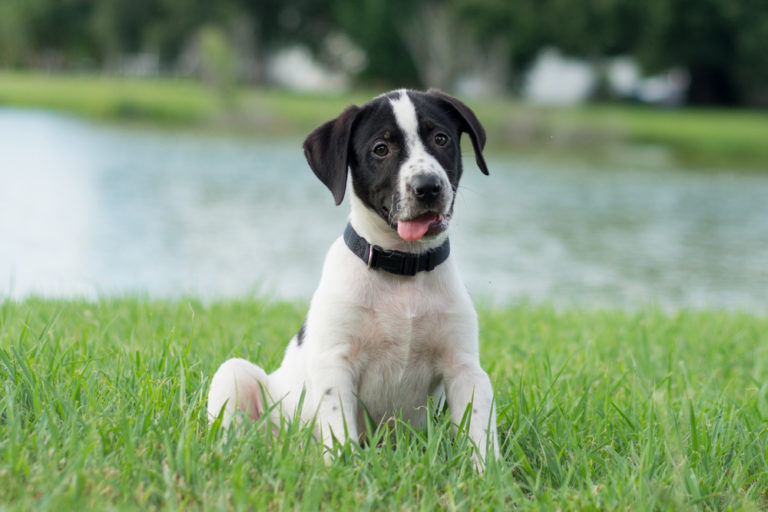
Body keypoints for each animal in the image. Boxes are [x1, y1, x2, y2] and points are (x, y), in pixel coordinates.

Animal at [207, 88, 500, 468]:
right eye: (381, 149)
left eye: (441, 139)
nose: (428, 187)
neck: (403, 269)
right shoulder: (335, 364)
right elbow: (340, 432)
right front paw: (343, 471)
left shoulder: (465, 369)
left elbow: (480, 432)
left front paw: (488, 474)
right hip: (234, 375)